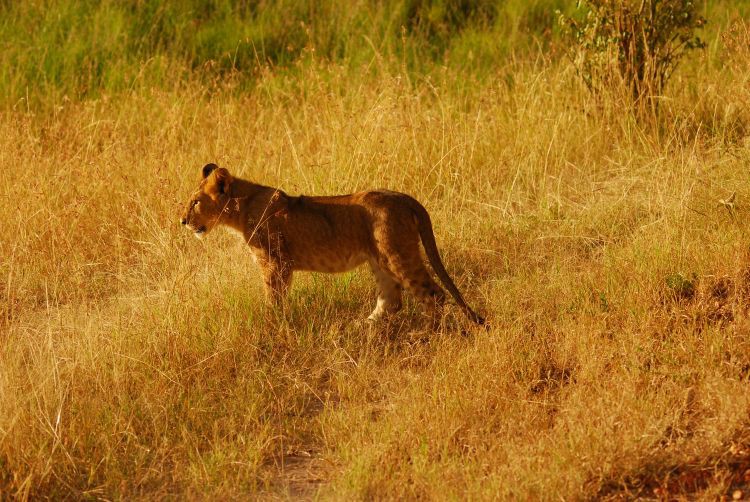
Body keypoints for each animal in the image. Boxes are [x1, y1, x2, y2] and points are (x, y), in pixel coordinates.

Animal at [182, 162, 488, 326]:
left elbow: (274, 297)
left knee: (434, 294)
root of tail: (404, 197)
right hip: (379, 259)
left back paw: (430, 332)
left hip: (397, 254)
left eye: (195, 202)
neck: (241, 208)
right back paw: (363, 327)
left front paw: (271, 324)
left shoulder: (276, 262)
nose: (182, 221)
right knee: (391, 299)